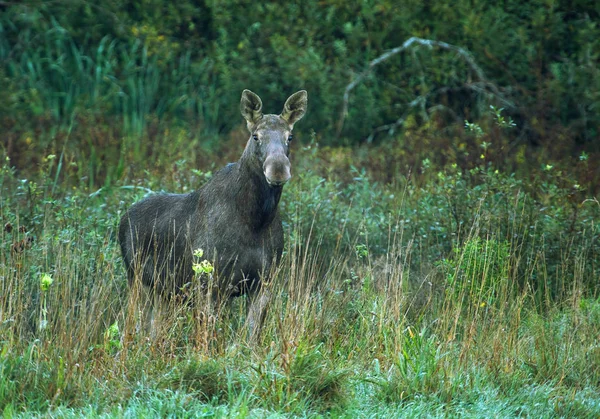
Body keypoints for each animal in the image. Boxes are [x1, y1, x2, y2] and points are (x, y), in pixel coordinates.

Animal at [118, 90, 308, 340]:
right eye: (256, 136)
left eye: (290, 137)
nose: (278, 170)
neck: (255, 219)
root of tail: (122, 220)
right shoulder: (209, 283)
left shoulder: (264, 282)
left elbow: (250, 337)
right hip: (138, 281)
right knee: (132, 328)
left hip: (163, 292)